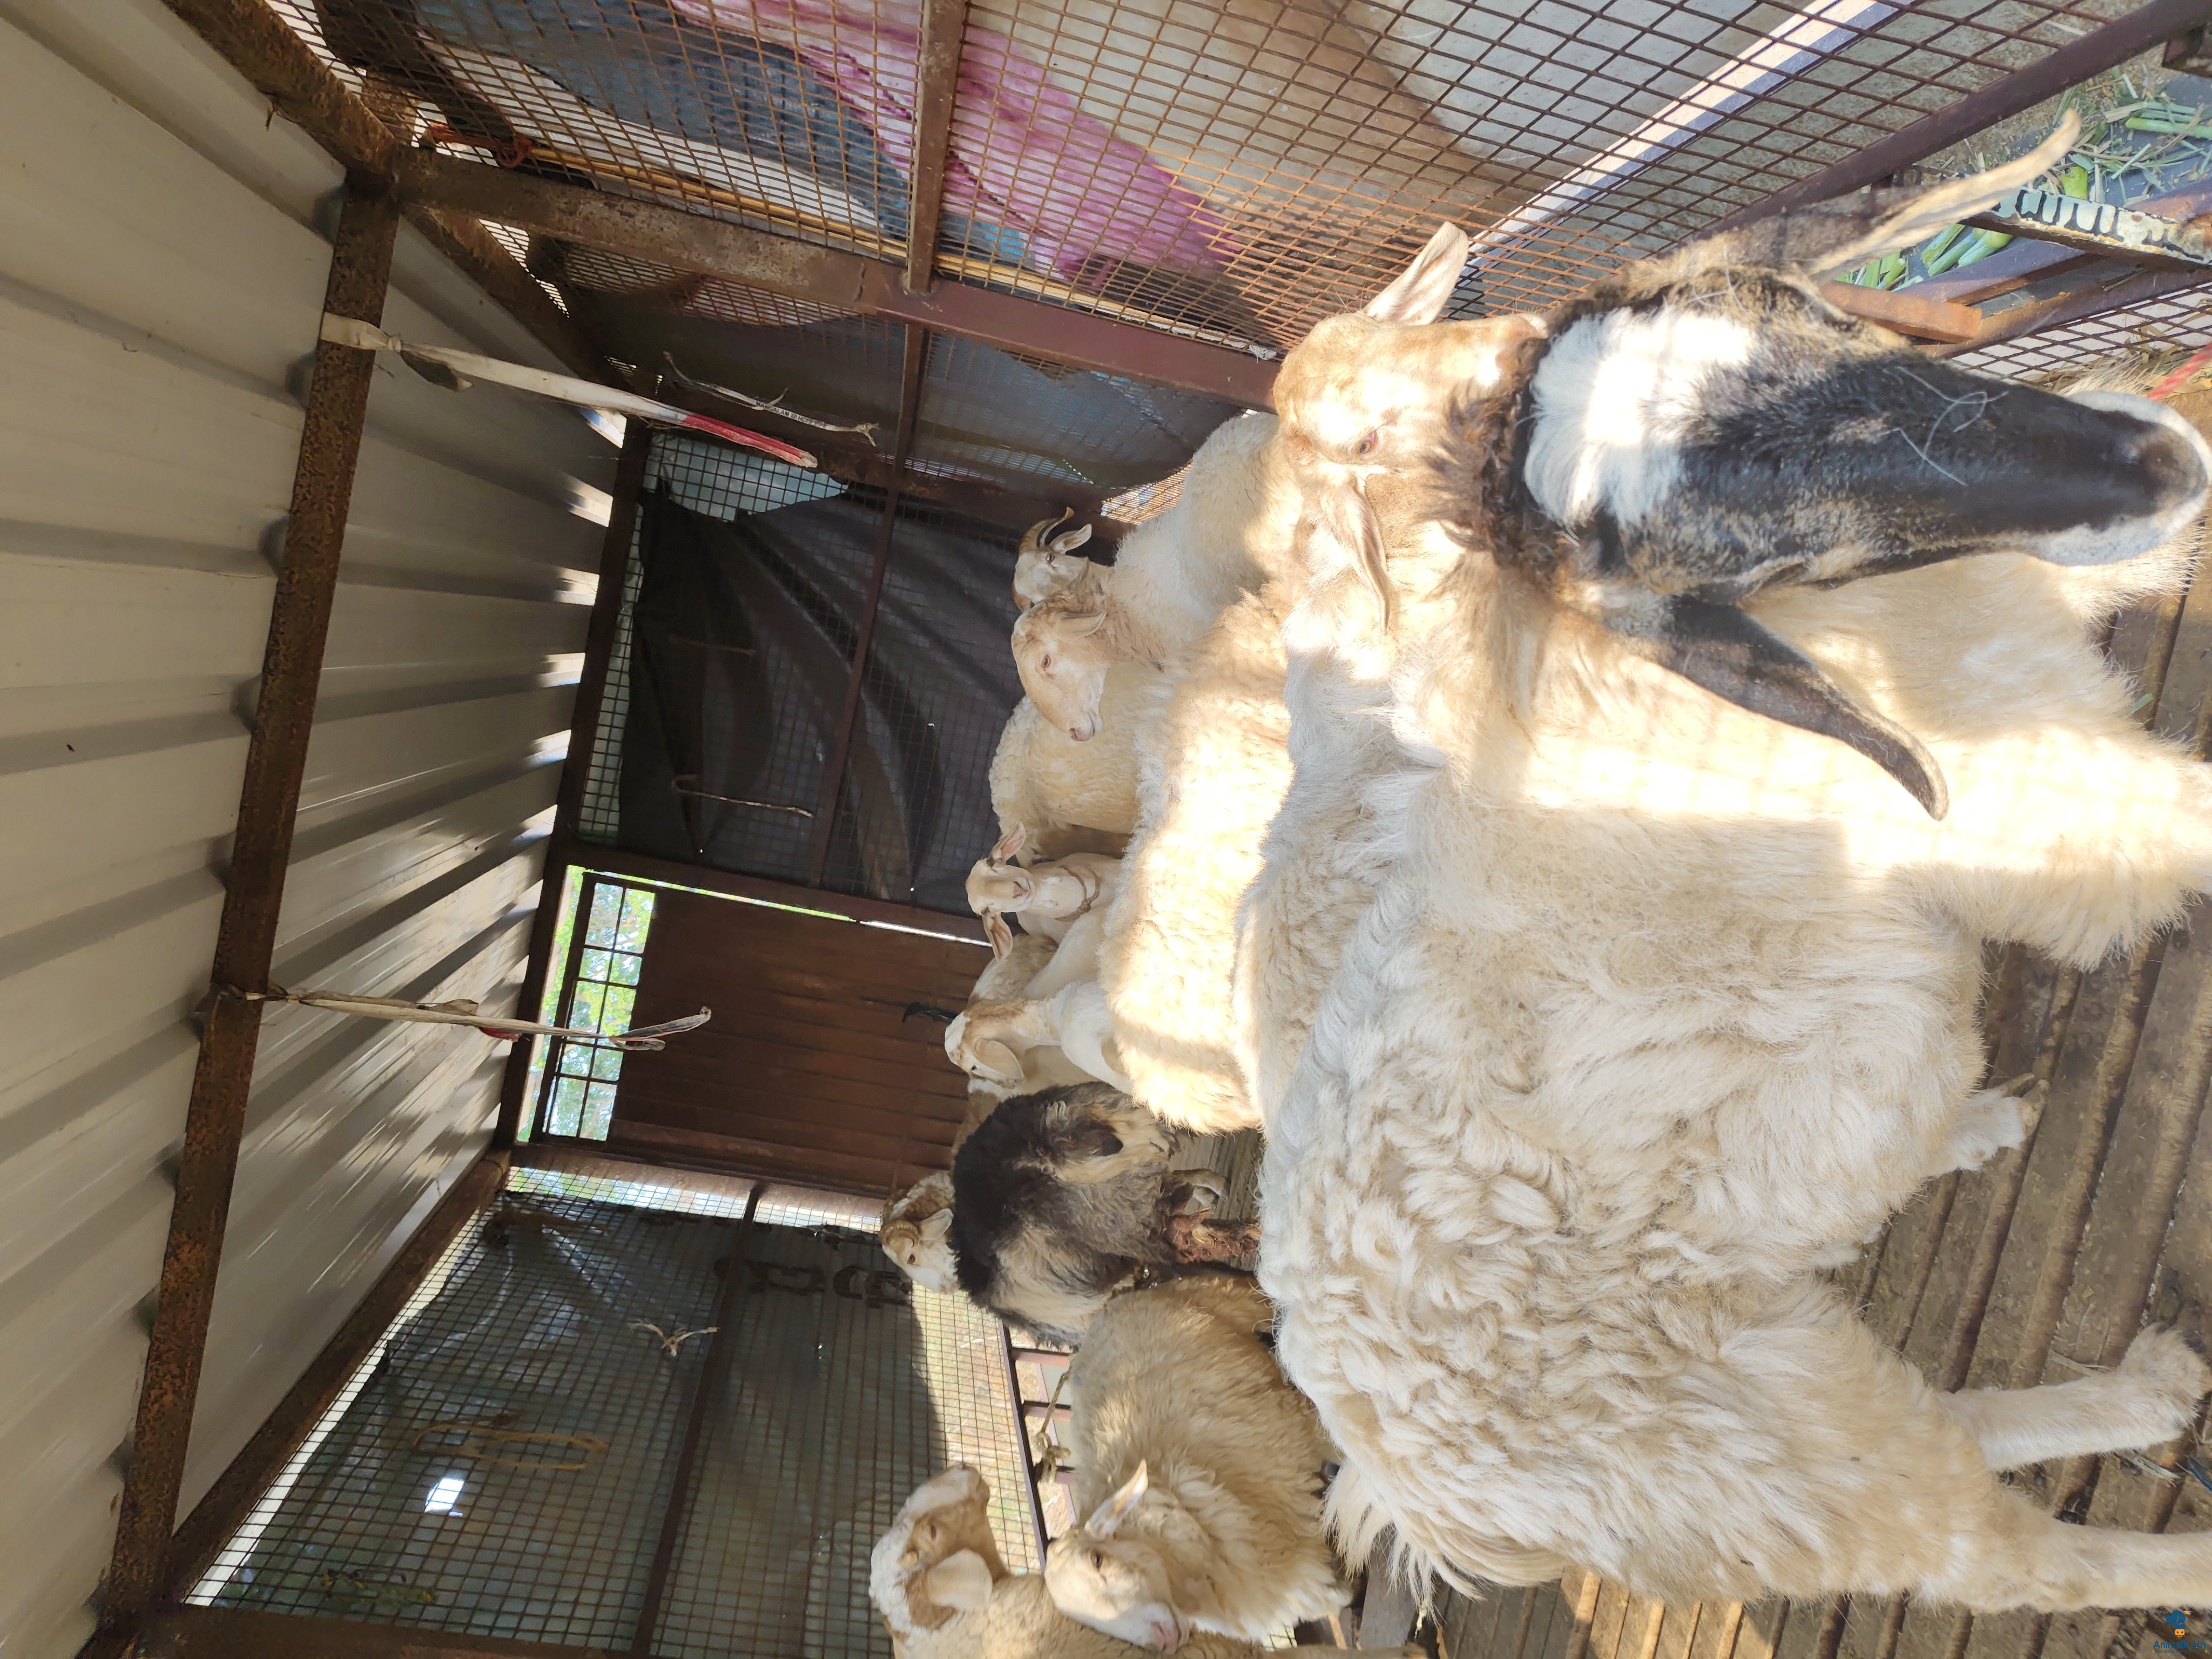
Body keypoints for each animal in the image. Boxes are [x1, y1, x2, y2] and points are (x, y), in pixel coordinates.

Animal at [1245, 131, 2212, 1613]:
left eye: (1808, 314)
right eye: (1756, 548)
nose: (2156, 463)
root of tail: (1391, 1471)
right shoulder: (2066, 820)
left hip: (1772, 1375)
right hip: (1754, 1454)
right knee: (2006, 1557)